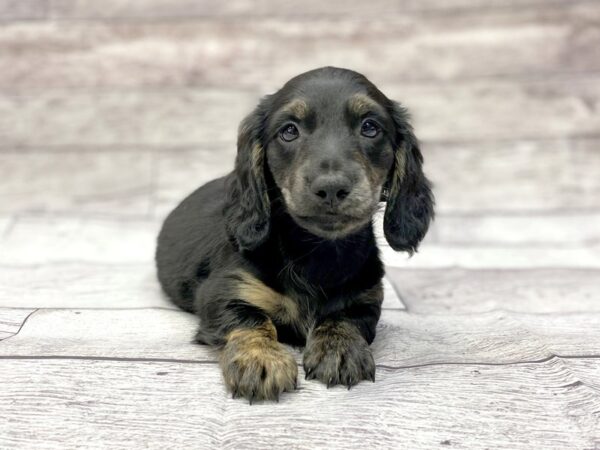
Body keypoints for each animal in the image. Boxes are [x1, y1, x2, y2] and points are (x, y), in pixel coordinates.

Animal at [157, 67, 434, 404]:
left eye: (370, 127)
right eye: (289, 131)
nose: (331, 187)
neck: (314, 252)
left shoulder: (366, 297)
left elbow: (344, 318)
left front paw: (340, 348)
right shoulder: (222, 291)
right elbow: (250, 319)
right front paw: (261, 359)